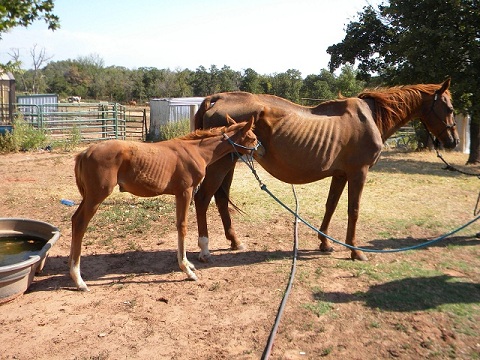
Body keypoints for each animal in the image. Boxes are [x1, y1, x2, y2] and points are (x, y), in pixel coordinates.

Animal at [69, 116, 260, 292]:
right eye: (252, 137)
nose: (261, 149)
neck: (196, 151)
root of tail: (85, 152)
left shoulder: (179, 194)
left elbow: (179, 225)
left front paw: (188, 264)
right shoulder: (185, 191)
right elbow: (182, 226)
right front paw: (187, 270)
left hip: (89, 197)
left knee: (74, 219)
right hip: (96, 196)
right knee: (80, 223)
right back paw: (79, 280)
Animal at [193, 79, 460, 262]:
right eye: (449, 108)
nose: (453, 141)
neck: (370, 117)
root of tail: (218, 98)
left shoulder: (341, 174)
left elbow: (331, 206)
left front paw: (324, 243)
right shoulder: (359, 173)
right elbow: (354, 210)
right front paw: (355, 251)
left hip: (229, 163)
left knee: (220, 199)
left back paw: (235, 242)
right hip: (220, 165)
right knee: (203, 198)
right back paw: (205, 250)